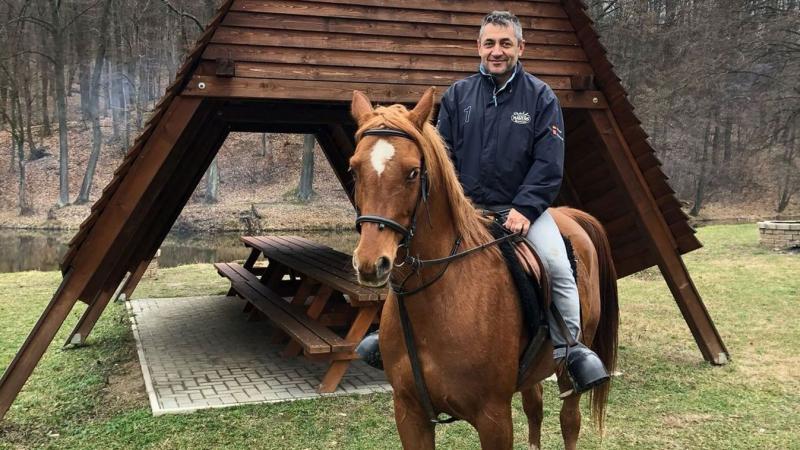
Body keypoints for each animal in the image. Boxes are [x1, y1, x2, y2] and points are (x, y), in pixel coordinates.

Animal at [348, 86, 620, 448]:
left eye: (412, 172)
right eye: (354, 170)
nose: (371, 263)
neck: (438, 297)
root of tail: (569, 214)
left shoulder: (493, 417)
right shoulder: (409, 414)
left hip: (568, 372)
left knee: (569, 421)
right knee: (535, 408)